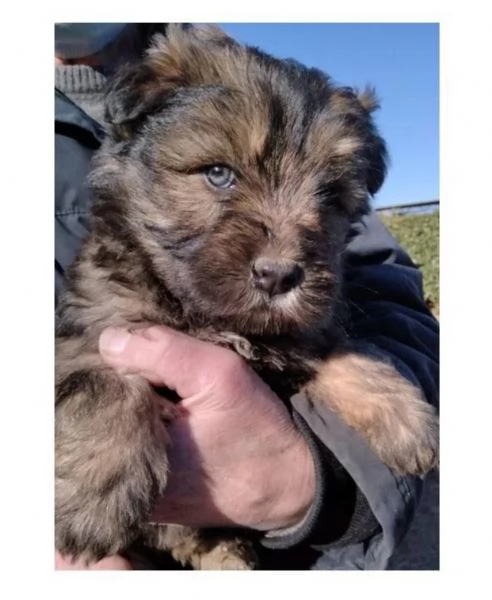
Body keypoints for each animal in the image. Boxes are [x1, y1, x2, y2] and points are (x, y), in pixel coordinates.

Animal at [55, 23, 440, 568]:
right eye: (219, 174)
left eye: (329, 196)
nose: (278, 275)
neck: (214, 319)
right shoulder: (92, 326)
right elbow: (103, 380)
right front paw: (94, 498)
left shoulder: (304, 330)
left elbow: (346, 349)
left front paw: (406, 420)